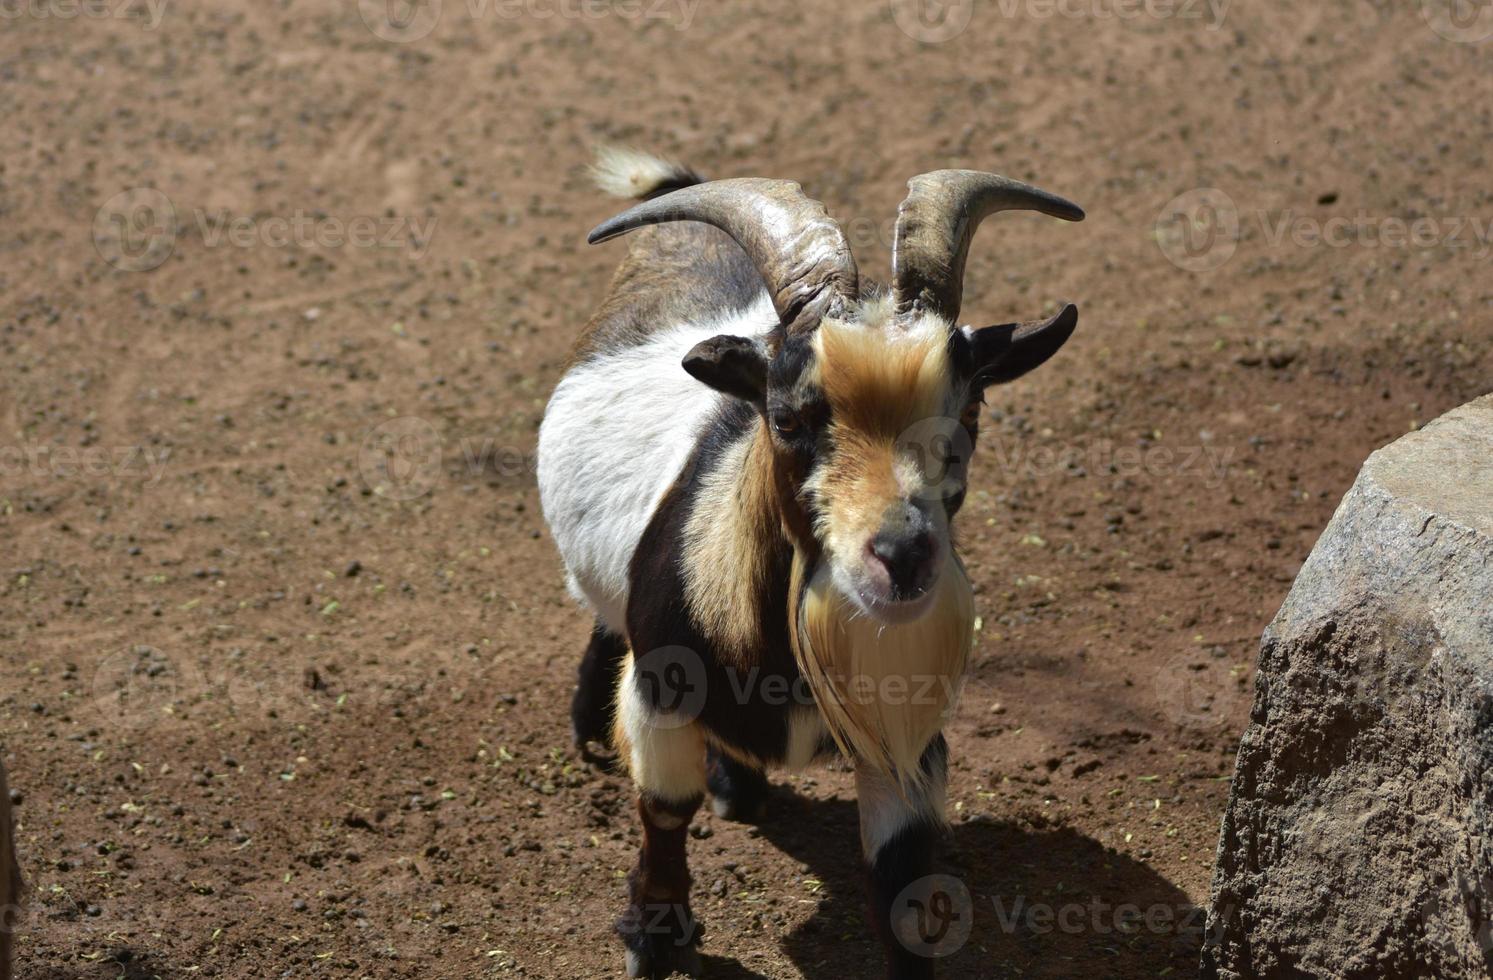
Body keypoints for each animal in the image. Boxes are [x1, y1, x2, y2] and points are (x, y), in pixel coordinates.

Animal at [537, 147, 1086, 980]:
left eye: (967, 412)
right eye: (789, 419)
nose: (902, 555)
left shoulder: (905, 737)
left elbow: (900, 873)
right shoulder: (661, 689)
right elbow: (665, 807)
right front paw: (652, 937)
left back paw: (738, 783)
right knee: (604, 617)